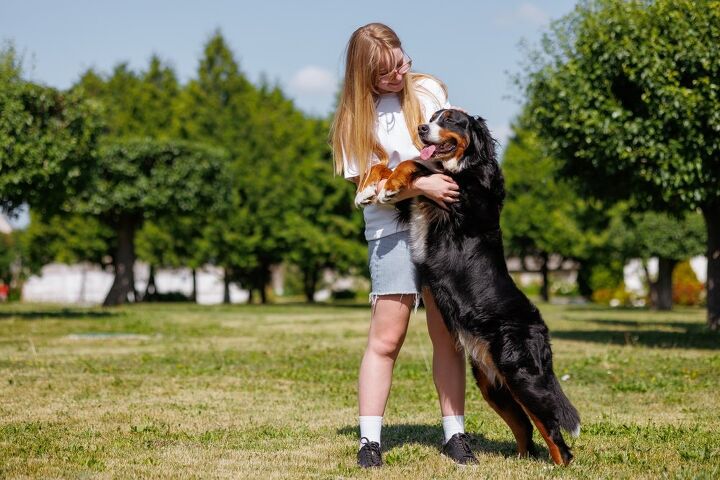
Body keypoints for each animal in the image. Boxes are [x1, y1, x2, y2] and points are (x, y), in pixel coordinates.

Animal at [358, 109, 584, 464]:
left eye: (451, 119)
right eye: (432, 117)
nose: (422, 128)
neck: (467, 166)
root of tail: (539, 327)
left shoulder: (456, 197)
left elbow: (416, 164)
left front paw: (388, 185)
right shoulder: (418, 205)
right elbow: (395, 163)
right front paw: (369, 189)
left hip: (523, 376)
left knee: (554, 431)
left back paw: (559, 465)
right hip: (493, 385)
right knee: (526, 426)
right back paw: (521, 460)